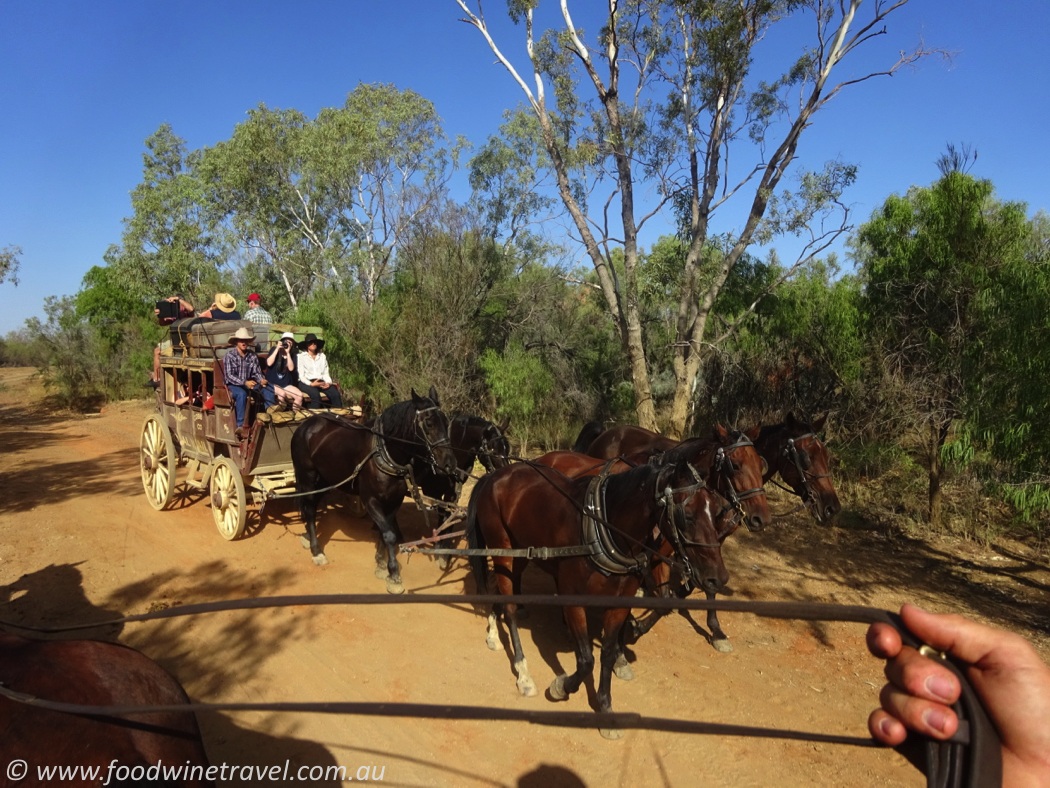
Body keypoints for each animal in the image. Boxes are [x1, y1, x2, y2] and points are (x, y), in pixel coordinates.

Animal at [289, 386, 457, 596]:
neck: (385, 453)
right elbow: (389, 535)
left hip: (326, 479)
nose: (449, 464)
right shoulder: (370, 501)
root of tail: (305, 424)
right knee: (310, 509)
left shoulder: (395, 500)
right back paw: (316, 550)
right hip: (308, 477)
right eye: (429, 423)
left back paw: (306, 536)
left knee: (310, 505)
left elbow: (386, 531)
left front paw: (381, 562)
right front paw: (393, 574)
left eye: (446, 422)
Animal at [468, 455, 730, 739]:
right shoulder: (573, 599)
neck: (605, 528)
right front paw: (561, 687)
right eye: (688, 515)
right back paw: (523, 671)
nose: (718, 578)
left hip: (521, 552)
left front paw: (605, 708)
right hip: (502, 548)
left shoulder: (619, 603)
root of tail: (495, 475)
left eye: (717, 512)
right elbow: (585, 660)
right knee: (510, 610)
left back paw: (494, 633)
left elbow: (606, 654)